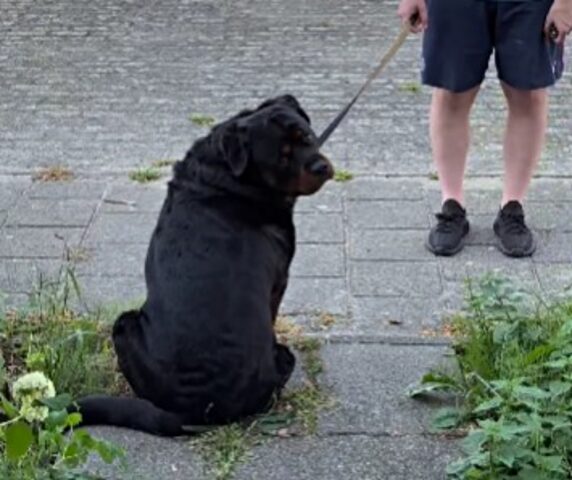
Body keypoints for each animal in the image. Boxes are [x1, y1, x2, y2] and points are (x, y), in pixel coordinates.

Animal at [78, 95, 332, 436]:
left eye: (307, 136)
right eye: (282, 157)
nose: (320, 166)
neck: (228, 175)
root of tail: (197, 411)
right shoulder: (279, 281)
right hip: (125, 323)